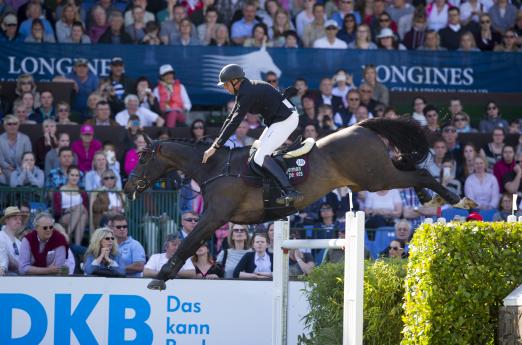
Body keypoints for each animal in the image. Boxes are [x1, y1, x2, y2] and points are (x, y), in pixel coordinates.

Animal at [124, 117, 474, 288]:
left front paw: (160, 278)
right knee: (412, 171)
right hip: (370, 180)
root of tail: (360, 127)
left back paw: (456, 198)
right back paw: (432, 197)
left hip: (377, 178)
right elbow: (193, 244)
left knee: (419, 173)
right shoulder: (219, 221)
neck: (213, 168)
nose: (128, 185)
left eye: (143, 157)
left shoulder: (214, 216)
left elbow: (187, 244)